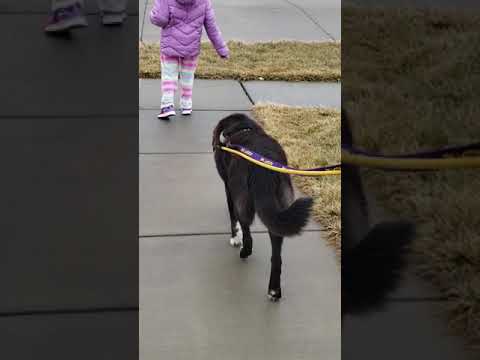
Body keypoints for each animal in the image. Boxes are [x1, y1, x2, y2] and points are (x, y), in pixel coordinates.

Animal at [213, 112, 312, 300]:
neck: (242, 128)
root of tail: (264, 172)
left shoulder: (229, 189)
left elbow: (233, 218)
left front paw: (234, 238)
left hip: (240, 197)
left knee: (248, 235)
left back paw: (244, 252)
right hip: (279, 208)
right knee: (276, 255)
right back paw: (274, 290)